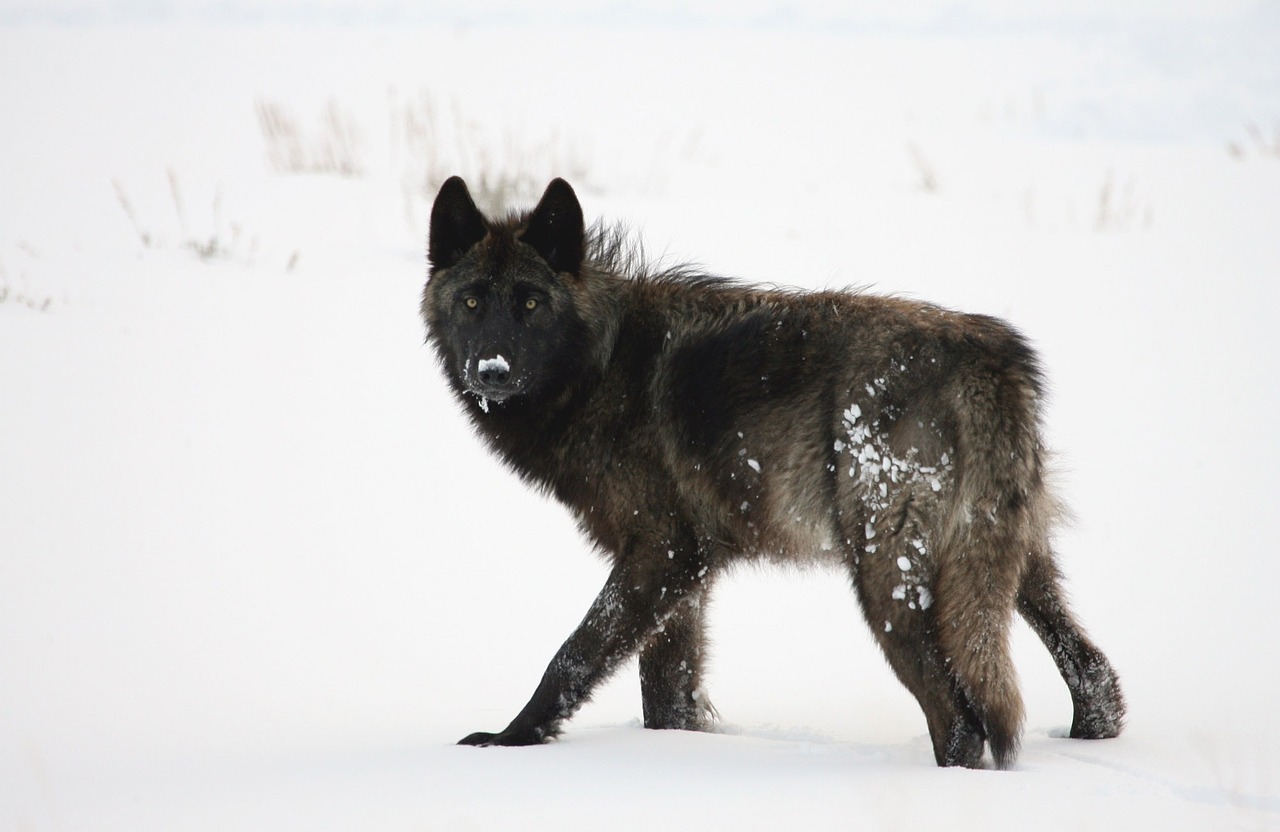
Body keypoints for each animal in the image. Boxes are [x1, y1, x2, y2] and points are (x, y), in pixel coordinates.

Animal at [419, 175, 1121, 762]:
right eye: (473, 302)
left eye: (531, 304)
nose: (492, 371)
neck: (600, 366)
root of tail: (988, 357)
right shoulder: (687, 574)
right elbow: (665, 694)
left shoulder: (661, 552)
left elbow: (573, 655)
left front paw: (508, 741)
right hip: (1010, 565)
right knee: (1093, 672)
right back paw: (1090, 733)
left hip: (887, 583)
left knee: (961, 720)